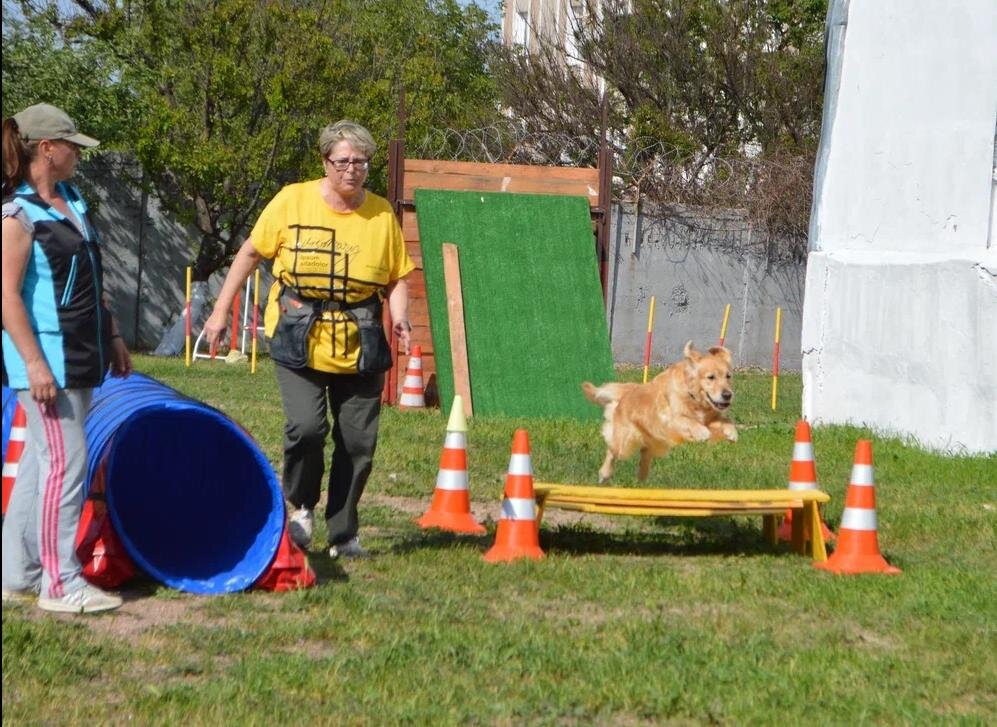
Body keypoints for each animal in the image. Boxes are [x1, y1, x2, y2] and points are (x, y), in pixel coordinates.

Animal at [580, 342, 736, 484]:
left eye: (728, 376)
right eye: (711, 377)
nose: (728, 395)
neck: (693, 397)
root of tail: (629, 391)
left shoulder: (710, 416)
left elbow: (725, 420)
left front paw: (731, 432)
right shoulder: (670, 420)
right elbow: (687, 420)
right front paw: (702, 432)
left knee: (644, 451)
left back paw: (641, 476)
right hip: (624, 443)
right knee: (612, 449)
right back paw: (604, 473)